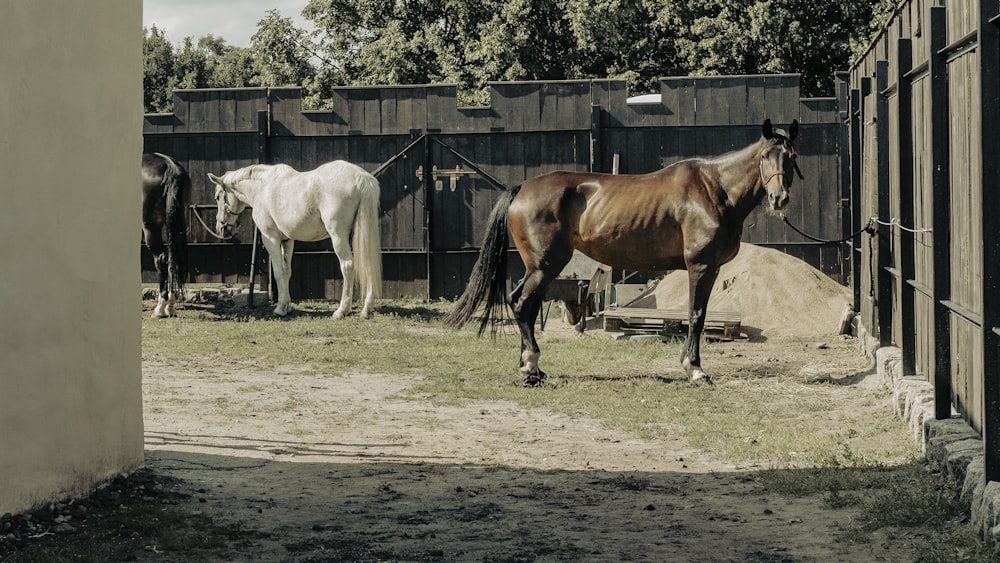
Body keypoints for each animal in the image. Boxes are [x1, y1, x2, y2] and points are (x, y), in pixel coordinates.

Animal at [144, 152, 192, 320]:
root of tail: (169, 165)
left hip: (151, 228)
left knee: (161, 259)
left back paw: (160, 308)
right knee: (173, 259)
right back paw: (170, 306)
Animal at [207, 161, 382, 320]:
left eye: (218, 197)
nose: (221, 228)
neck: (263, 187)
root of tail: (361, 177)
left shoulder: (271, 239)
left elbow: (278, 272)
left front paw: (280, 309)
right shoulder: (287, 241)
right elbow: (287, 271)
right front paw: (287, 306)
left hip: (338, 235)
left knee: (347, 266)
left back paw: (342, 310)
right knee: (368, 262)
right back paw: (367, 309)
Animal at [446, 118, 796, 384]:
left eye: (791, 157)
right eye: (765, 156)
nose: (779, 198)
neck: (713, 190)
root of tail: (521, 190)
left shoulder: (711, 268)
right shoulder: (701, 266)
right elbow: (695, 315)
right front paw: (694, 369)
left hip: (543, 269)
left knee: (527, 306)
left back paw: (531, 367)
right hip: (545, 265)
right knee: (521, 303)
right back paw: (531, 366)